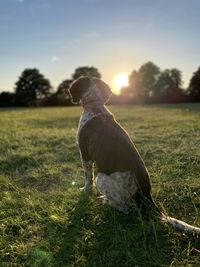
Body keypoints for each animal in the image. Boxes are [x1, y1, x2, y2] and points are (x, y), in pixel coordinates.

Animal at [68, 76, 200, 234]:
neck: (95, 106)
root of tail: (147, 198)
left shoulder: (85, 155)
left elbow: (88, 178)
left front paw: (85, 191)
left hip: (101, 179)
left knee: (124, 208)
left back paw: (106, 201)